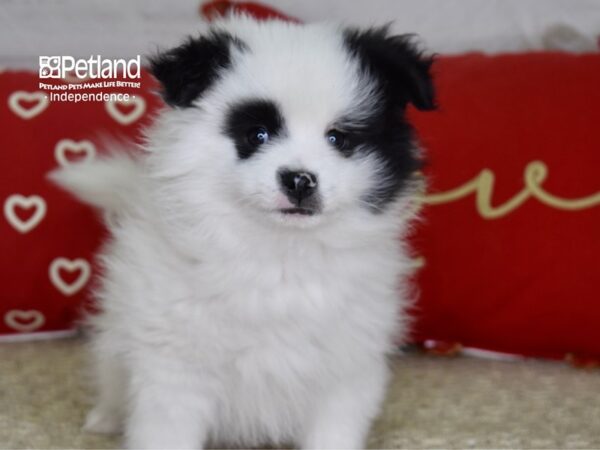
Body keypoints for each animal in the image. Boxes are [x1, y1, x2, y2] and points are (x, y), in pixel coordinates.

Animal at [51, 14, 434, 450]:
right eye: (257, 134)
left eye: (339, 138)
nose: (299, 180)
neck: (280, 253)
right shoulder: (175, 366)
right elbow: (166, 428)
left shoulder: (345, 368)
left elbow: (332, 429)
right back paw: (106, 417)